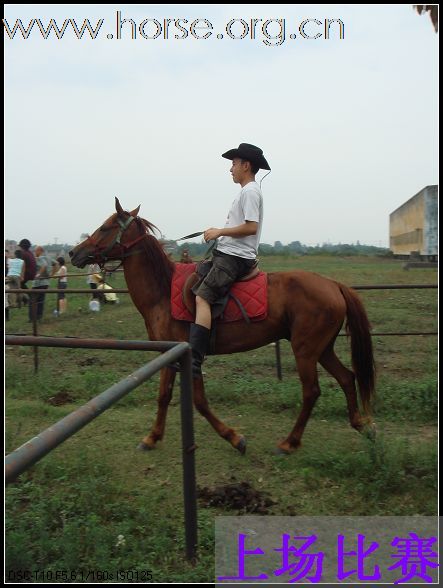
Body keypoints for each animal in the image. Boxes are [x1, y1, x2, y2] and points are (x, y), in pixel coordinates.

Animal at [69, 199, 374, 454]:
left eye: (105, 227)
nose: (74, 253)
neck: (162, 292)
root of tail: (333, 284)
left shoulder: (190, 355)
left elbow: (199, 401)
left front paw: (234, 437)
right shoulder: (169, 355)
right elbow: (163, 396)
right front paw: (152, 437)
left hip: (306, 351)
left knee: (312, 392)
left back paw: (290, 442)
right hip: (322, 349)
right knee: (347, 378)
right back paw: (360, 424)